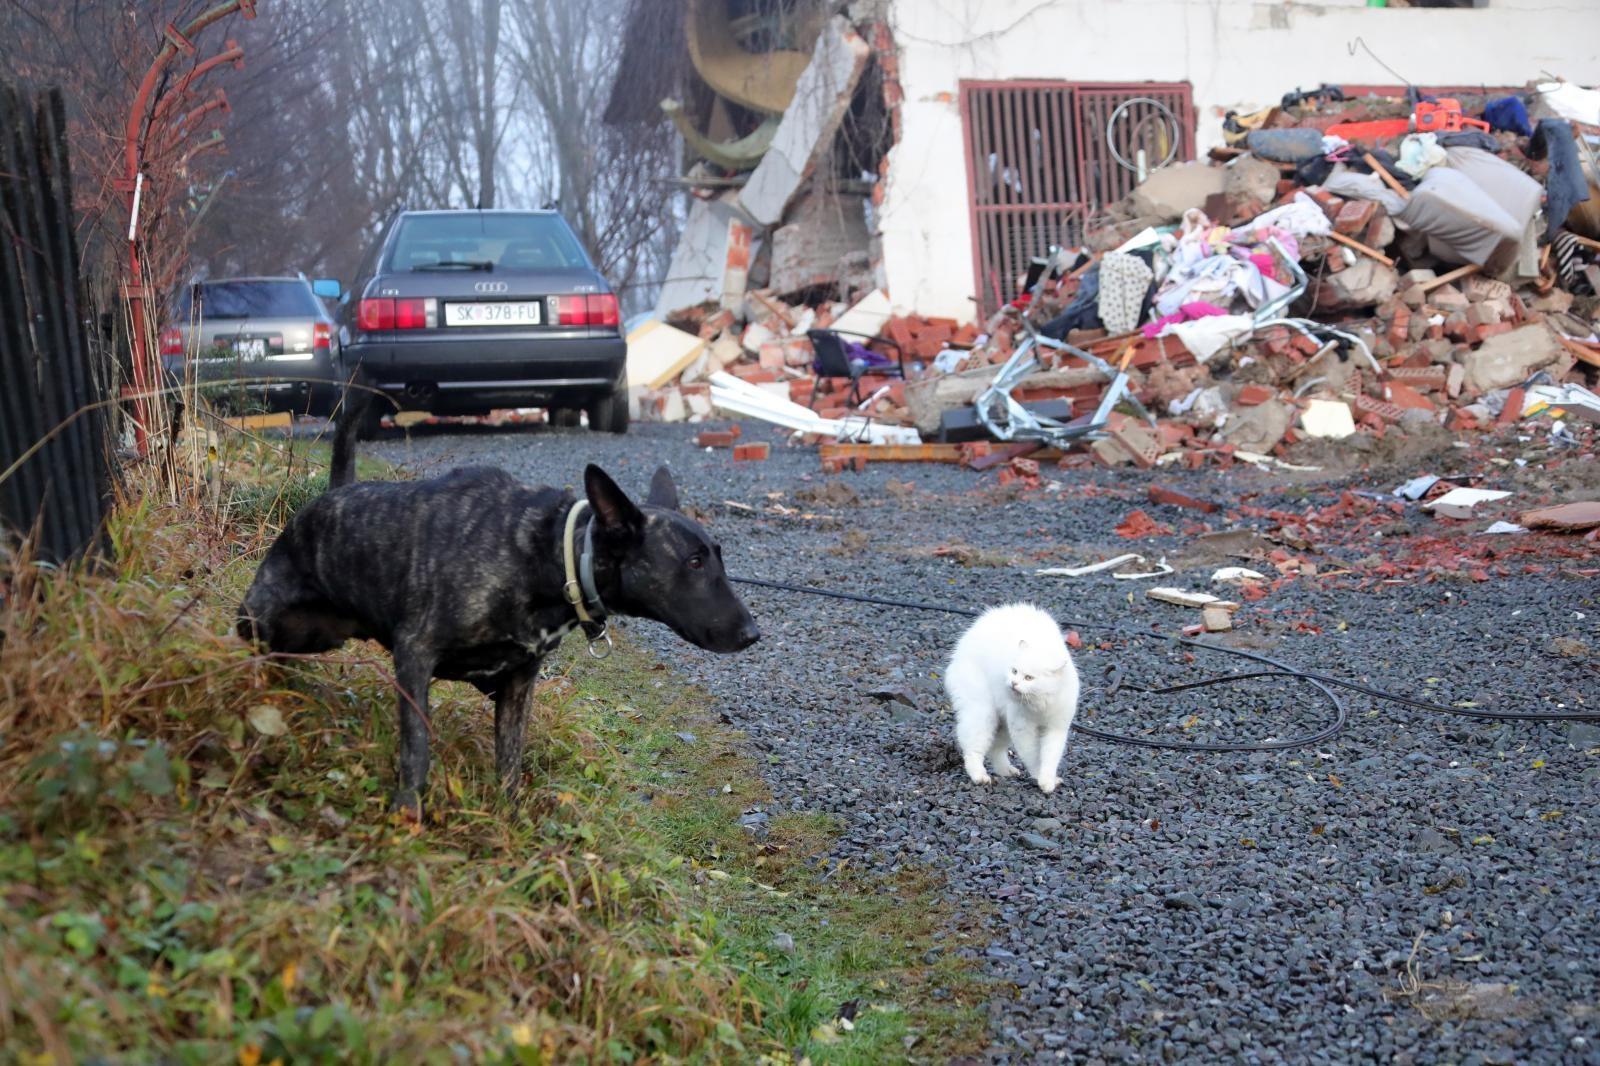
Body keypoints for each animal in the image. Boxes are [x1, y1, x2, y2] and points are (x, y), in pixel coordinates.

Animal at [940, 598, 1081, 787]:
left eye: (1029, 678)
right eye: (1014, 671)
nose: (1014, 683)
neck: (1039, 704)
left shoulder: (1056, 728)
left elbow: (1050, 757)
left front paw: (1048, 781)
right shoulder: (1022, 728)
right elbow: (1033, 757)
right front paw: (1039, 777)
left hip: (1003, 722)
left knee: (995, 749)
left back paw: (1006, 771)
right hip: (983, 713)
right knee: (973, 749)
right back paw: (980, 776)